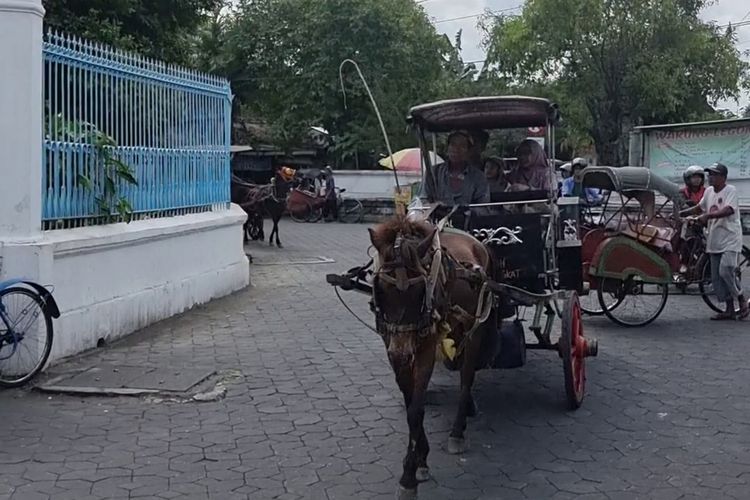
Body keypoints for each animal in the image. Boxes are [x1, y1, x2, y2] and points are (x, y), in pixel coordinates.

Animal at [368, 217, 496, 498]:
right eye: (380, 289)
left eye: (419, 292)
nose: (402, 351)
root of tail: (478, 243)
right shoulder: (391, 347)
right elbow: (410, 405)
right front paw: (421, 459)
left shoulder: (425, 348)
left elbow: (416, 410)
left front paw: (408, 477)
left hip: (475, 326)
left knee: (467, 376)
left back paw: (458, 431)